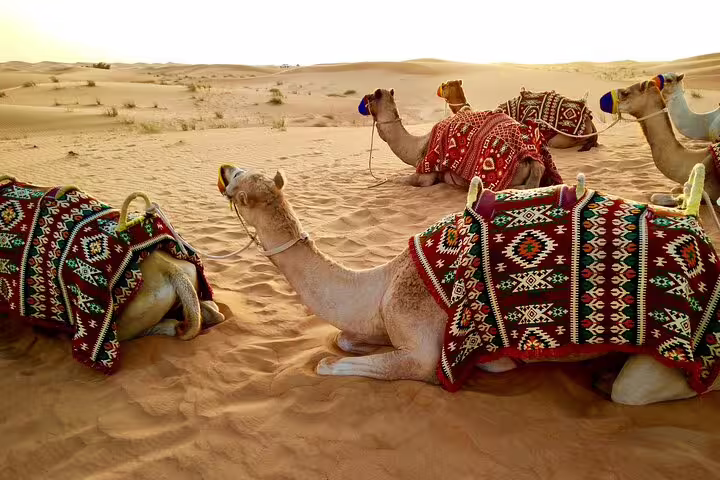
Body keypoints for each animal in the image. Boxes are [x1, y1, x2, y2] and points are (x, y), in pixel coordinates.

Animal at [217, 164, 720, 405]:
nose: (223, 169)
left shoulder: (422, 349)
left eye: (240, 182)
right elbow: (344, 341)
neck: (382, 283)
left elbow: (331, 363)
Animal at [358, 88, 552, 190]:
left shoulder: (426, 174)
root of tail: (534, 160)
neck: (417, 146)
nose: (362, 105)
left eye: (370, 97)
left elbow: (402, 180)